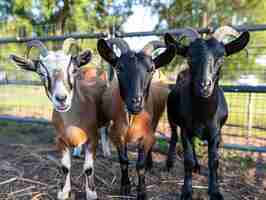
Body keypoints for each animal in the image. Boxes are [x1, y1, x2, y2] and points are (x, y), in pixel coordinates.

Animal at [10, 38, 110, 199]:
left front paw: (91, 193)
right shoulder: (60, 139)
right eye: (41, 73)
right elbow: (65, 167)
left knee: (105, 130)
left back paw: (107, 152)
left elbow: (88, 168)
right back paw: (77, 151)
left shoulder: (93, 138)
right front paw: (64, 192)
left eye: (72, 70)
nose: (61, 98)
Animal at [97, 38, 177, 200]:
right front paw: (125, 187)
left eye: (151, 69)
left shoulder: (146, 136)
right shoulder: (116, 135)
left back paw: (150, 164)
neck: (132, 120)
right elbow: (124, 161)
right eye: (119, 68)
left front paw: (142, 192)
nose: (136, 102)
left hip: (156, 121)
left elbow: (140, 165)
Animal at [164, 27, 249, 200]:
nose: (204, 85)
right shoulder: (185, 130)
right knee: (174, 136)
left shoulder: (216, 133)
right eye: (190, 56)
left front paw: (215, 191)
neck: (203, 115)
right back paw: (169, 163)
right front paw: (186, 191)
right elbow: (187, 160)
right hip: (171, 118)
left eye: (222, 57)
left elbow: (214, 161)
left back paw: (197, 166)